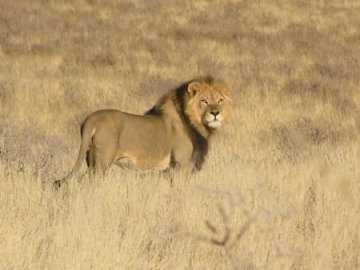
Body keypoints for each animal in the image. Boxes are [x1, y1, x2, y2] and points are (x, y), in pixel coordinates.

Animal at [54, 76, 232, 186]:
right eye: (204, 101)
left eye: (219, 100)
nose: (215, 113)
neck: (195, 123)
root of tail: (91, 119)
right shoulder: (182, 165)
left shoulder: (168, 170)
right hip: (102, 162)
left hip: (90, 159)